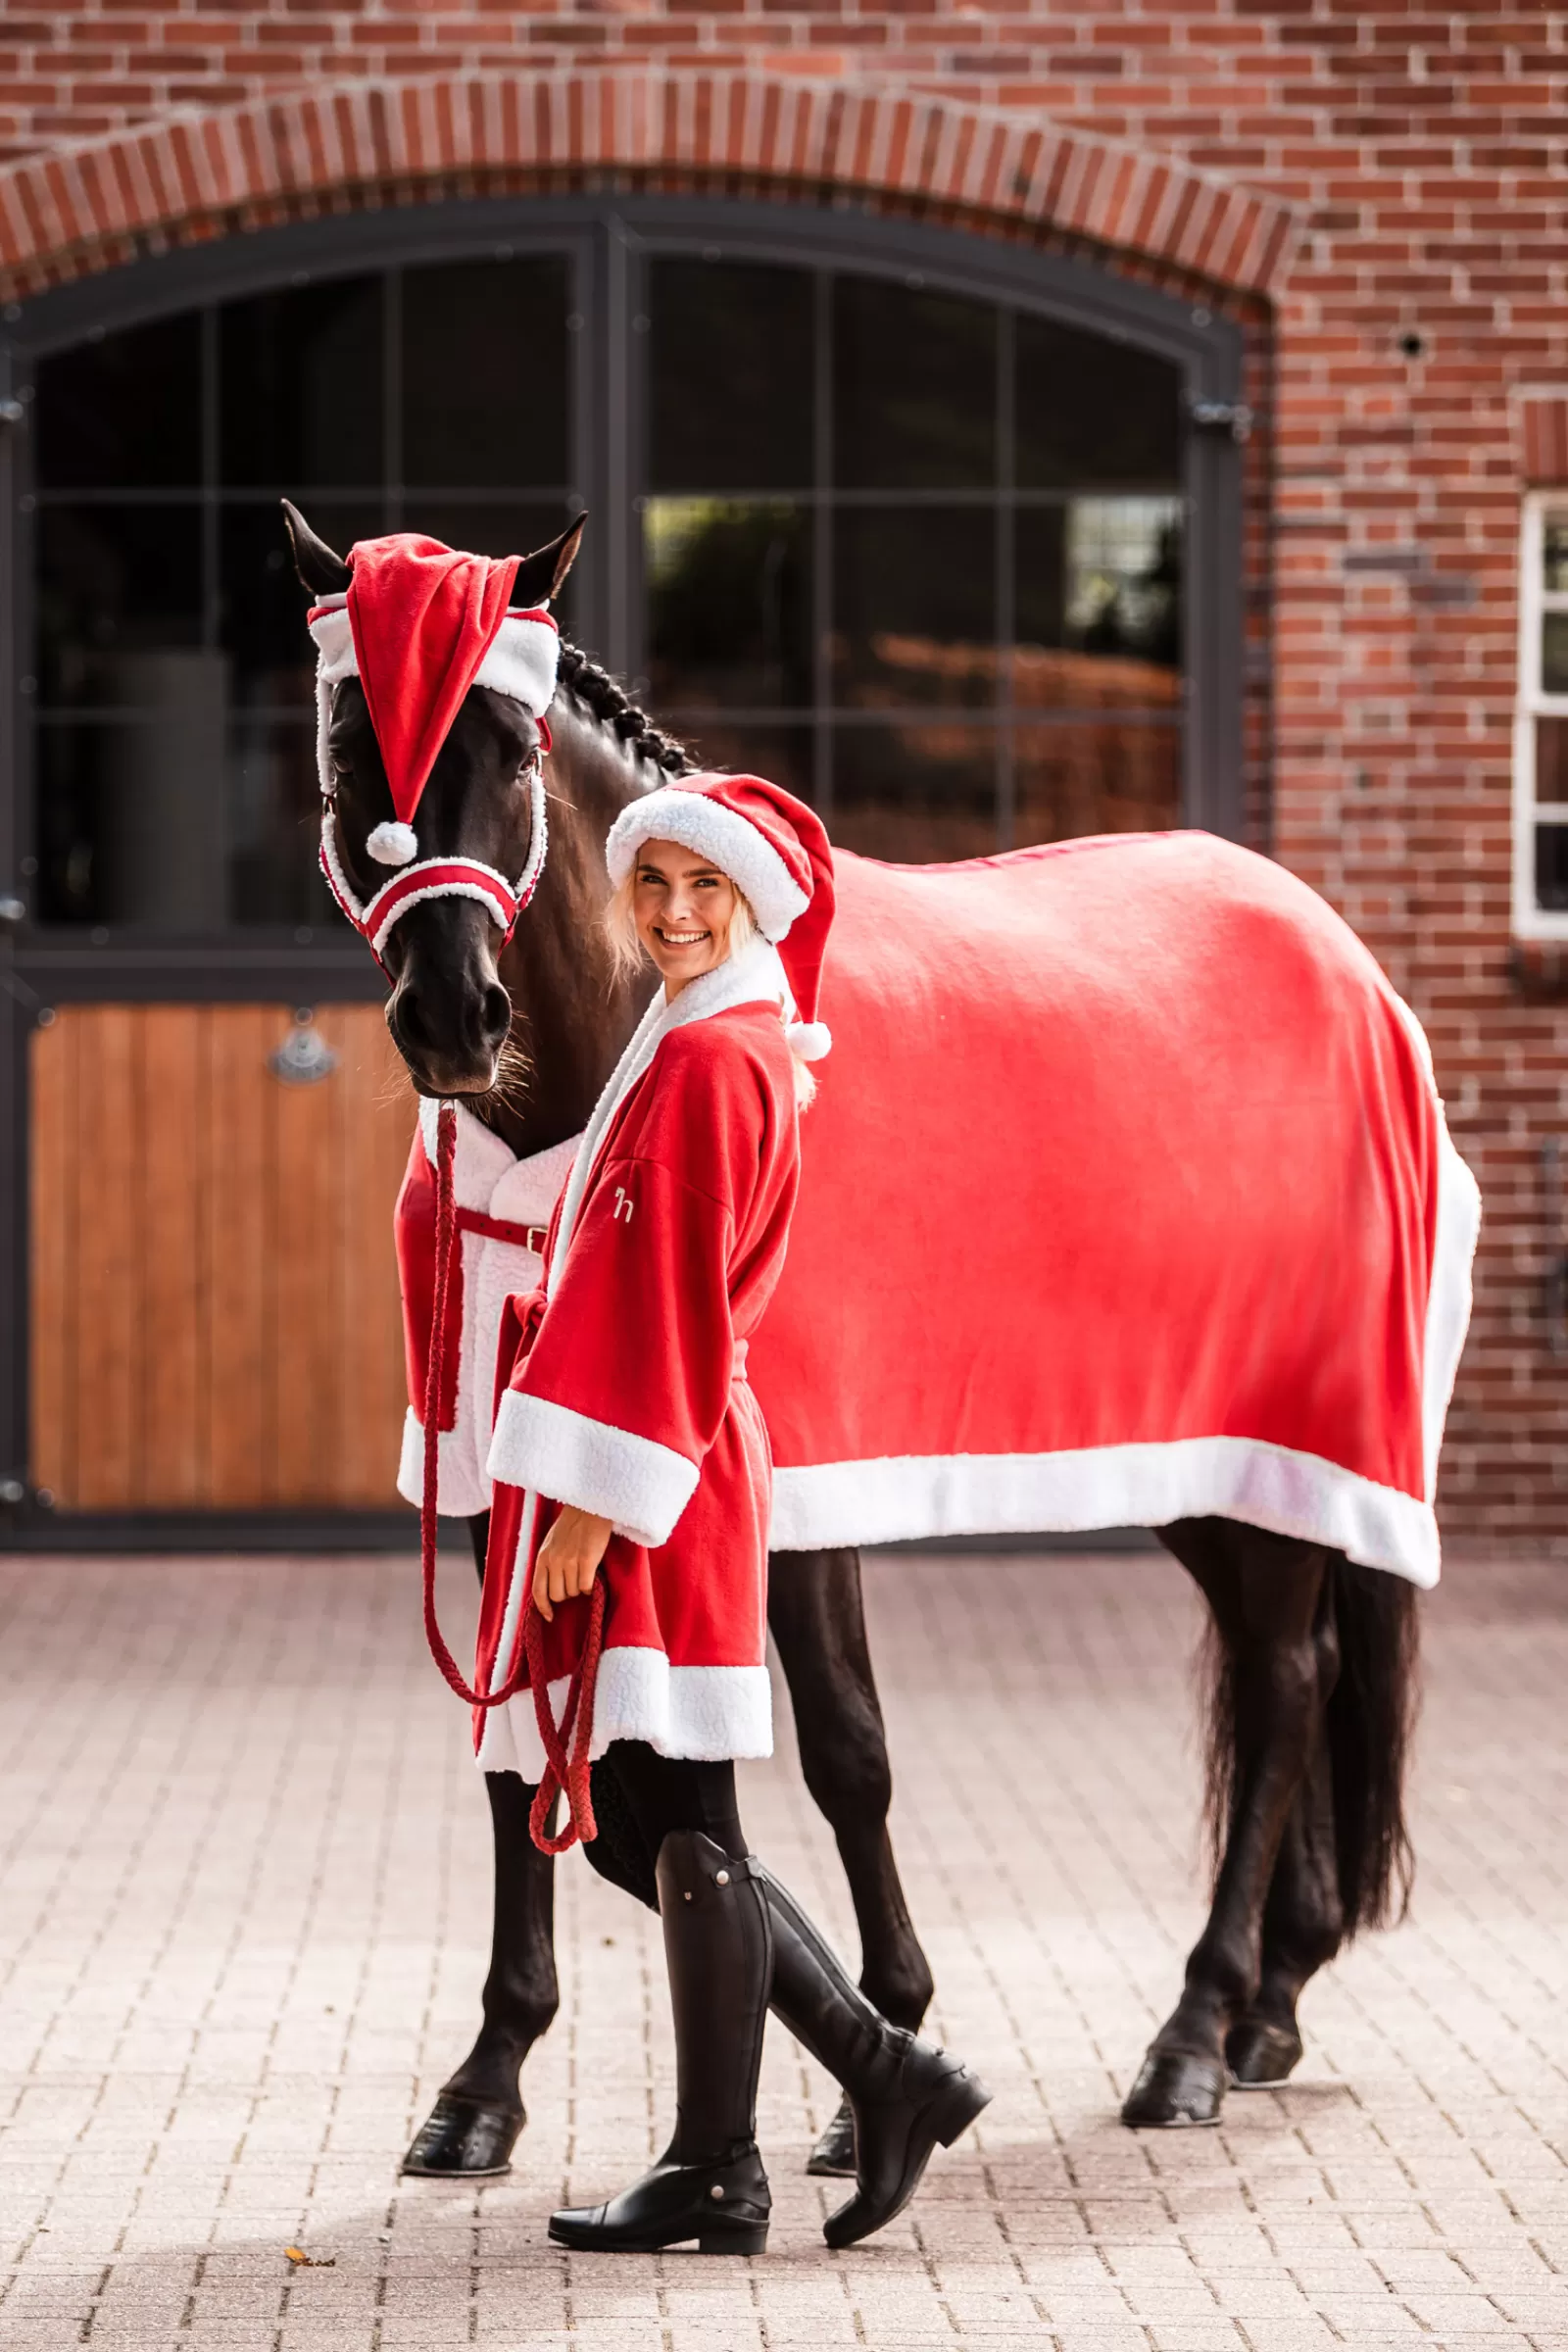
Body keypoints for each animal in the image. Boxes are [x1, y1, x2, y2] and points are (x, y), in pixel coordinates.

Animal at [281, 510, 1419, 2164]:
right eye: (346, 744)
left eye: (509, 744)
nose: (454, 1015)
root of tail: (1339, 951)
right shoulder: (502, 1459)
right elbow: (524, 1761)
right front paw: (487, 2081)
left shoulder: (788, 1479)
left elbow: (844, 1751)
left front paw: (891, 2037)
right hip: (1208, 1462)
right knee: (1311, 1663)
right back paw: (1273, 2000)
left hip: (1280, 1430)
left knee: (1280, 1678)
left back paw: (1196, 2033)